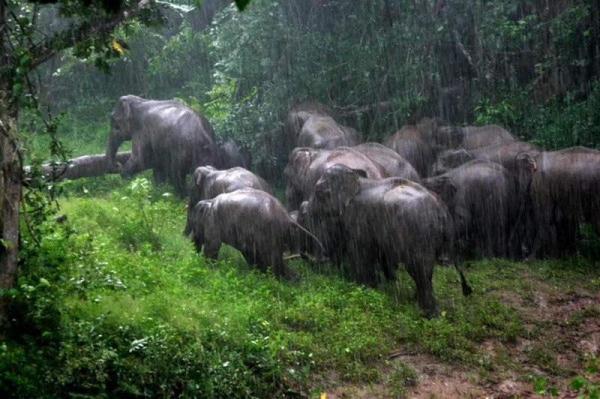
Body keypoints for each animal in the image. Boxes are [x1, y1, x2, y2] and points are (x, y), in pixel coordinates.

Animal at [191, 189, 324, 280]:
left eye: (194, 224)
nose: (194, 257)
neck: (209, 201)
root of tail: (286, 216)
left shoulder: (213, 221)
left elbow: (212, 246)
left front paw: (208, 269)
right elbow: (248, 252)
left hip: (269, 231)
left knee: (271, 258)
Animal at [298, 164, 468, 318]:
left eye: (319, 191)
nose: (304, 208)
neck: (356, 177)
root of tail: (441, 210)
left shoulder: (358, 218)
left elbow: (360, 254)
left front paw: (363, 288)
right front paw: (387, 283)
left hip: (419, 235)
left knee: (420, 271)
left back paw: (429, 314)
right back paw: (416, 301)